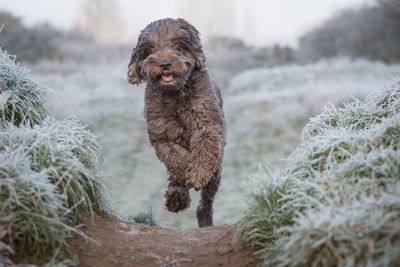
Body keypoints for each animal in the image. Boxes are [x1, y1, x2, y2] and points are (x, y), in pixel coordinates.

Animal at [128, 18, 227, 228]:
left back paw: (204, 217)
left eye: (177, 44)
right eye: (150, 48)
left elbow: (203, 148)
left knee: (207, 197)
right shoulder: (162, 136)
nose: (164, 64)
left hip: (217, 169)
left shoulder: (207, 125)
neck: (175, 94)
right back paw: (176, 197)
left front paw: (197, 173)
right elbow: (176, 158)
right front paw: (185, 175)